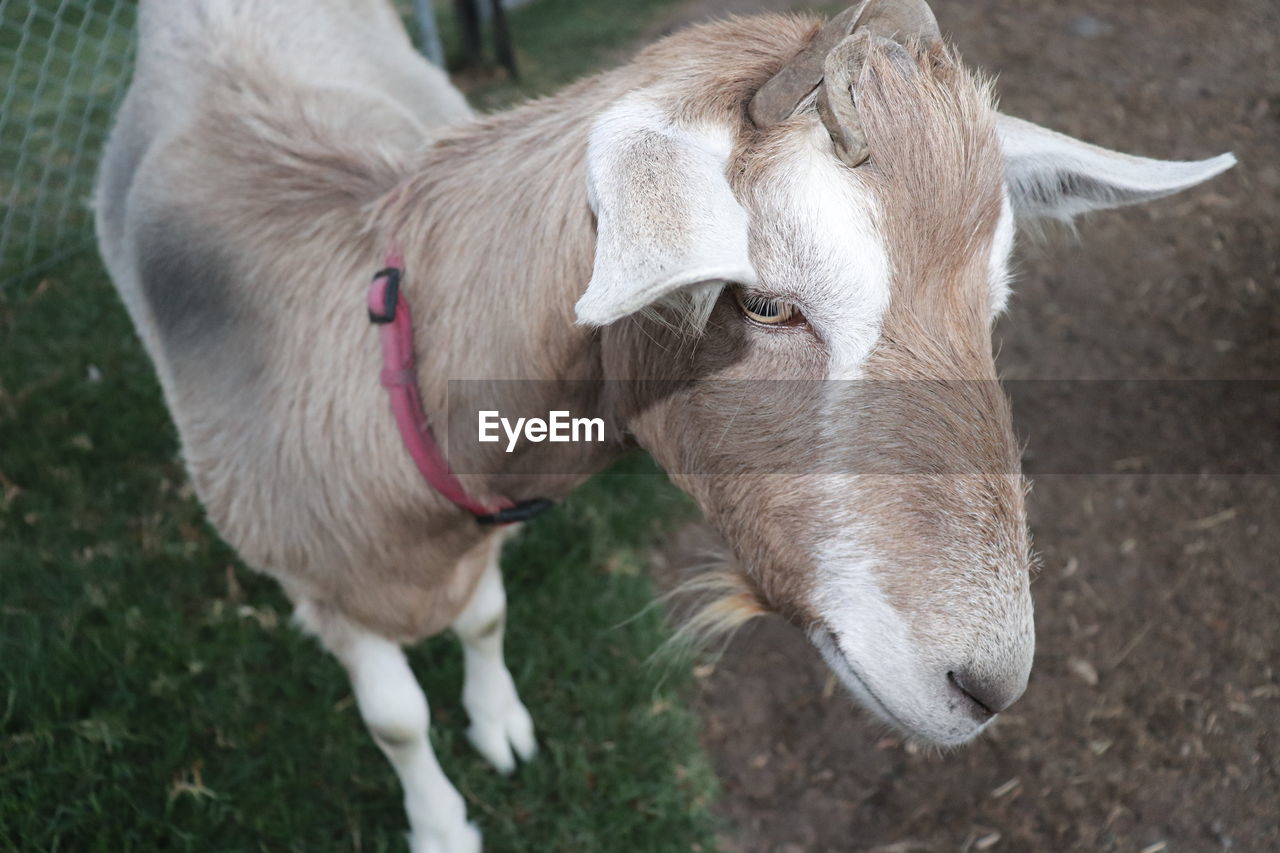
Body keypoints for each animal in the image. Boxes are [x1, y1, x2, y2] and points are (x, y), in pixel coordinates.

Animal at [94, 3, 1233, 845]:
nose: (988, 684)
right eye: (764, 302)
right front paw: (444, 822)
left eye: (990, 303)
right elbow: (396, 716)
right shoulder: (323, 577)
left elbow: (486, 620)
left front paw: (500, 722)